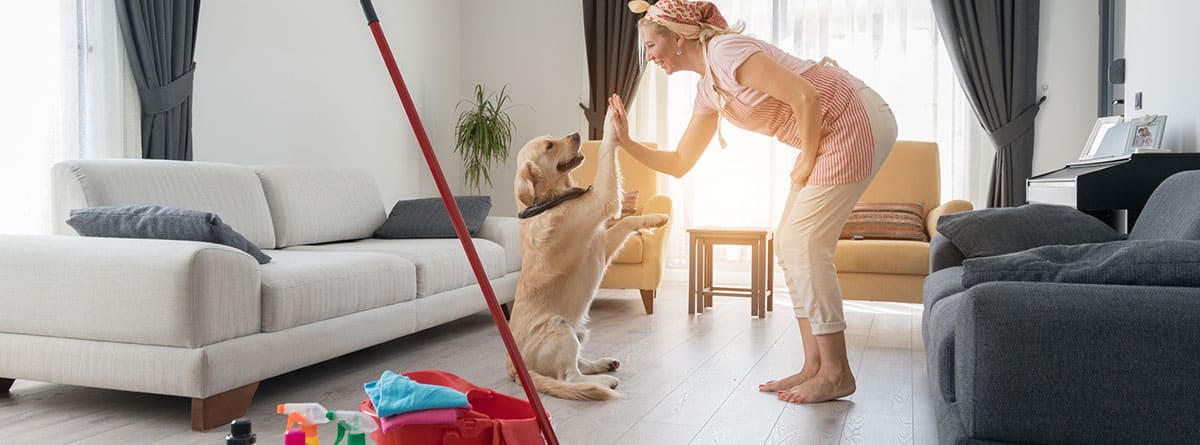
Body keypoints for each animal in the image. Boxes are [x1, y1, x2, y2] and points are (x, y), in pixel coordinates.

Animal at [506, 109, 672, 400]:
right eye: (549, 146)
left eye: (552, 138)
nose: (576, 134)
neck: (550, 200)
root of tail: (515, 368)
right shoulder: (602, 200)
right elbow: (606, 150)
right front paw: (612, 119)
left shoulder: (602, 245)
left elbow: (628, 222)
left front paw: (656, 219)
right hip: (560, 328)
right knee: (570, 377)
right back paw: (604, 381)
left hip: (578, 331)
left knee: (579, 364)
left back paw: (603, 363)